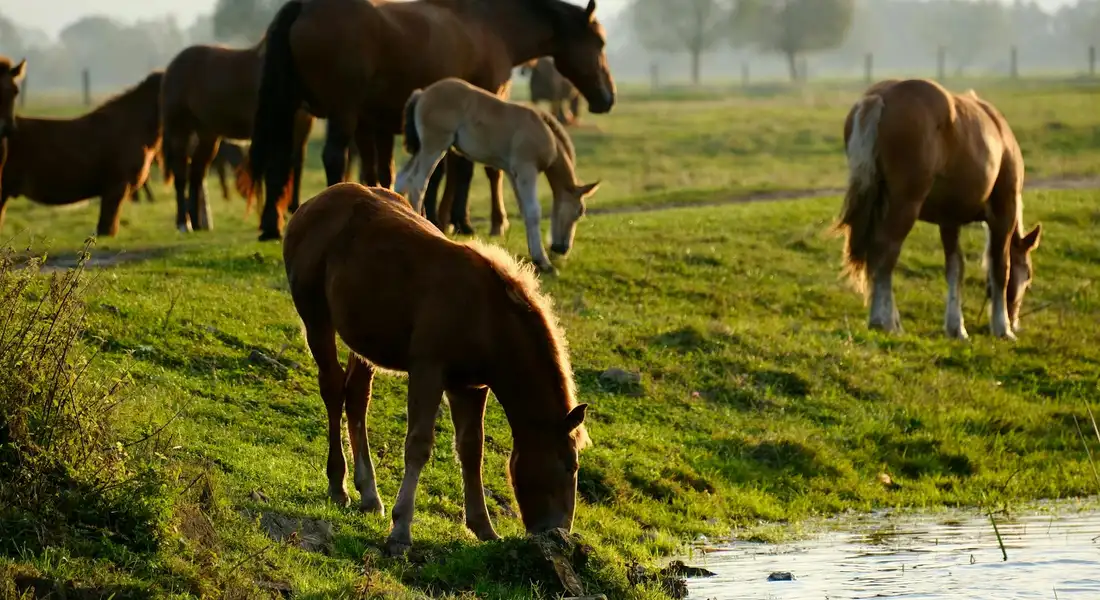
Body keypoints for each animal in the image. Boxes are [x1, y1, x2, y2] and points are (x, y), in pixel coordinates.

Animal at [160, 41, 313, 234]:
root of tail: (172, 66)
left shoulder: (301, 130)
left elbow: (296, 166)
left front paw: (293, 209)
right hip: (179, 132)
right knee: (181, 175)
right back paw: (183, 223)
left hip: (208, 135)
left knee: (196, 172)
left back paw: (196, 224)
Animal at [248, 0, 616, 242]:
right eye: (599, 42)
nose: (607, 97)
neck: (490, 25)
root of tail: (304, 7)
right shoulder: (485, 109)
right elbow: (476, 169)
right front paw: (472, 222)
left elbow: (444, 171)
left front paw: (442, 217)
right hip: (342, 112)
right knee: (333, 157)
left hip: (290, 110)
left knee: (279, 160)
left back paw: (271, 225)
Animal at [283, 182, 590, 556]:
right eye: (570, 465)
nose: (558, 532)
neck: (486, 316)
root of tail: (312, 205)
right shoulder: (427, 372)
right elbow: (418, 444)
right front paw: (401, 529)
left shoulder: (470, 387)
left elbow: (471, 450)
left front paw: (483, 526)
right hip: (317, 320)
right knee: (331, 389)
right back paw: (338, 484)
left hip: (363, 341)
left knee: (356, 398)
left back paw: (369, 492)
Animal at [395, 78, 599, 273]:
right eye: (579, 212)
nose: (562, 249)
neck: (543, 131)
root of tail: (422, 93)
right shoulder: (527, 170)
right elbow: (533, 211)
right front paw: (544, 262)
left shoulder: (513, 174)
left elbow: (525, 210)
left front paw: (535, 257)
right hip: (434, 146)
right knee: (418, 183)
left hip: (421, 149)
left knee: (402, 179)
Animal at [835, 79, 1042, 341]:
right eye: (1028, 275)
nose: (1016, 322)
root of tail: (881, 97)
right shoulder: (1004, 212)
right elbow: (1000, 268)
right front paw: (1002, 327)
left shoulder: (949, 221)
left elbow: (955, 269)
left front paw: (956, 327)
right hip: (905, 206)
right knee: (885, 253)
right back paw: (883, 321)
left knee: (876, 257)